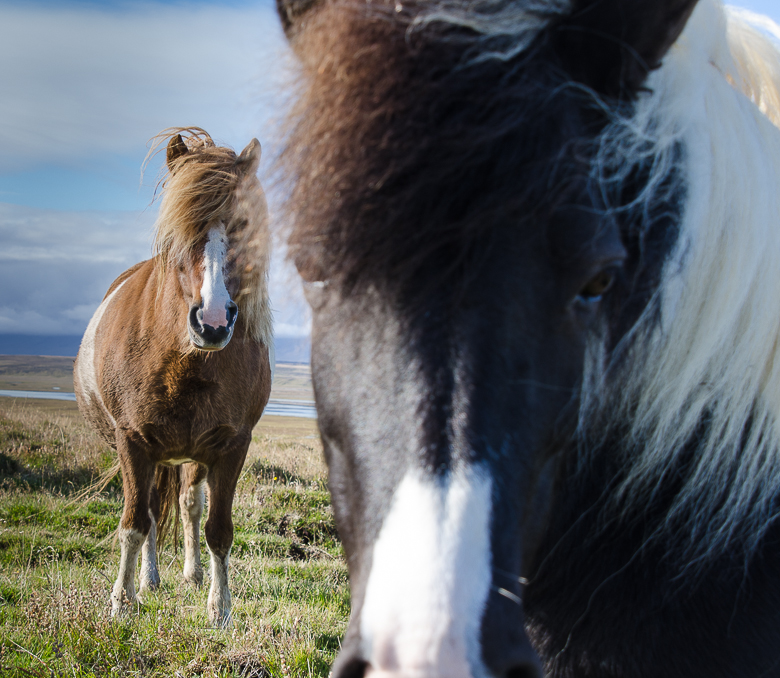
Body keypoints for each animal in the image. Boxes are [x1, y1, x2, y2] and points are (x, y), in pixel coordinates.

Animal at [74, 129, 274, 632]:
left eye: (243, 227)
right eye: (182, 231)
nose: (213, 322)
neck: (185, 363)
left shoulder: (231, 445)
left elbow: (218, 529)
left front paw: (219, 609)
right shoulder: (132, 442)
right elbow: (133, 524)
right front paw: (121, 603)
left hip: (193, 453)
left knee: (187, 505)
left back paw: (191, 574)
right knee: (148, 510)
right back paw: (149, 581)